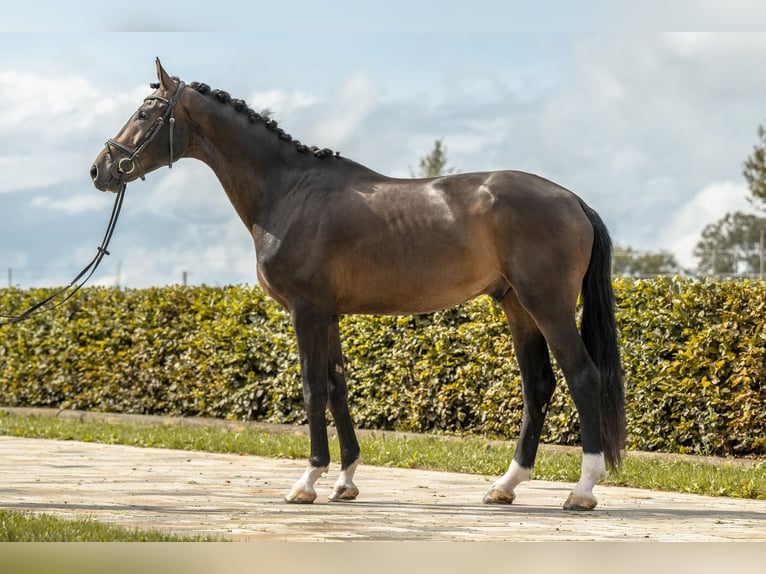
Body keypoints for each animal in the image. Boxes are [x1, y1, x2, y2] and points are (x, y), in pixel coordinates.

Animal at [90, 59, 628, 512]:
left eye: (145, 112)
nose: (100, 169)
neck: (289, 193)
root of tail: (573, 200)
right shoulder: (328, 314)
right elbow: (337, 387)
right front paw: (345, 481)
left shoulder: (305, 310)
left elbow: (312, 389)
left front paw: (307, 482)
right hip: (517, 307)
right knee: (538, 385)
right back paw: (505, 485)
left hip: (547, 304)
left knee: (583, 377)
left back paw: (582, 491)